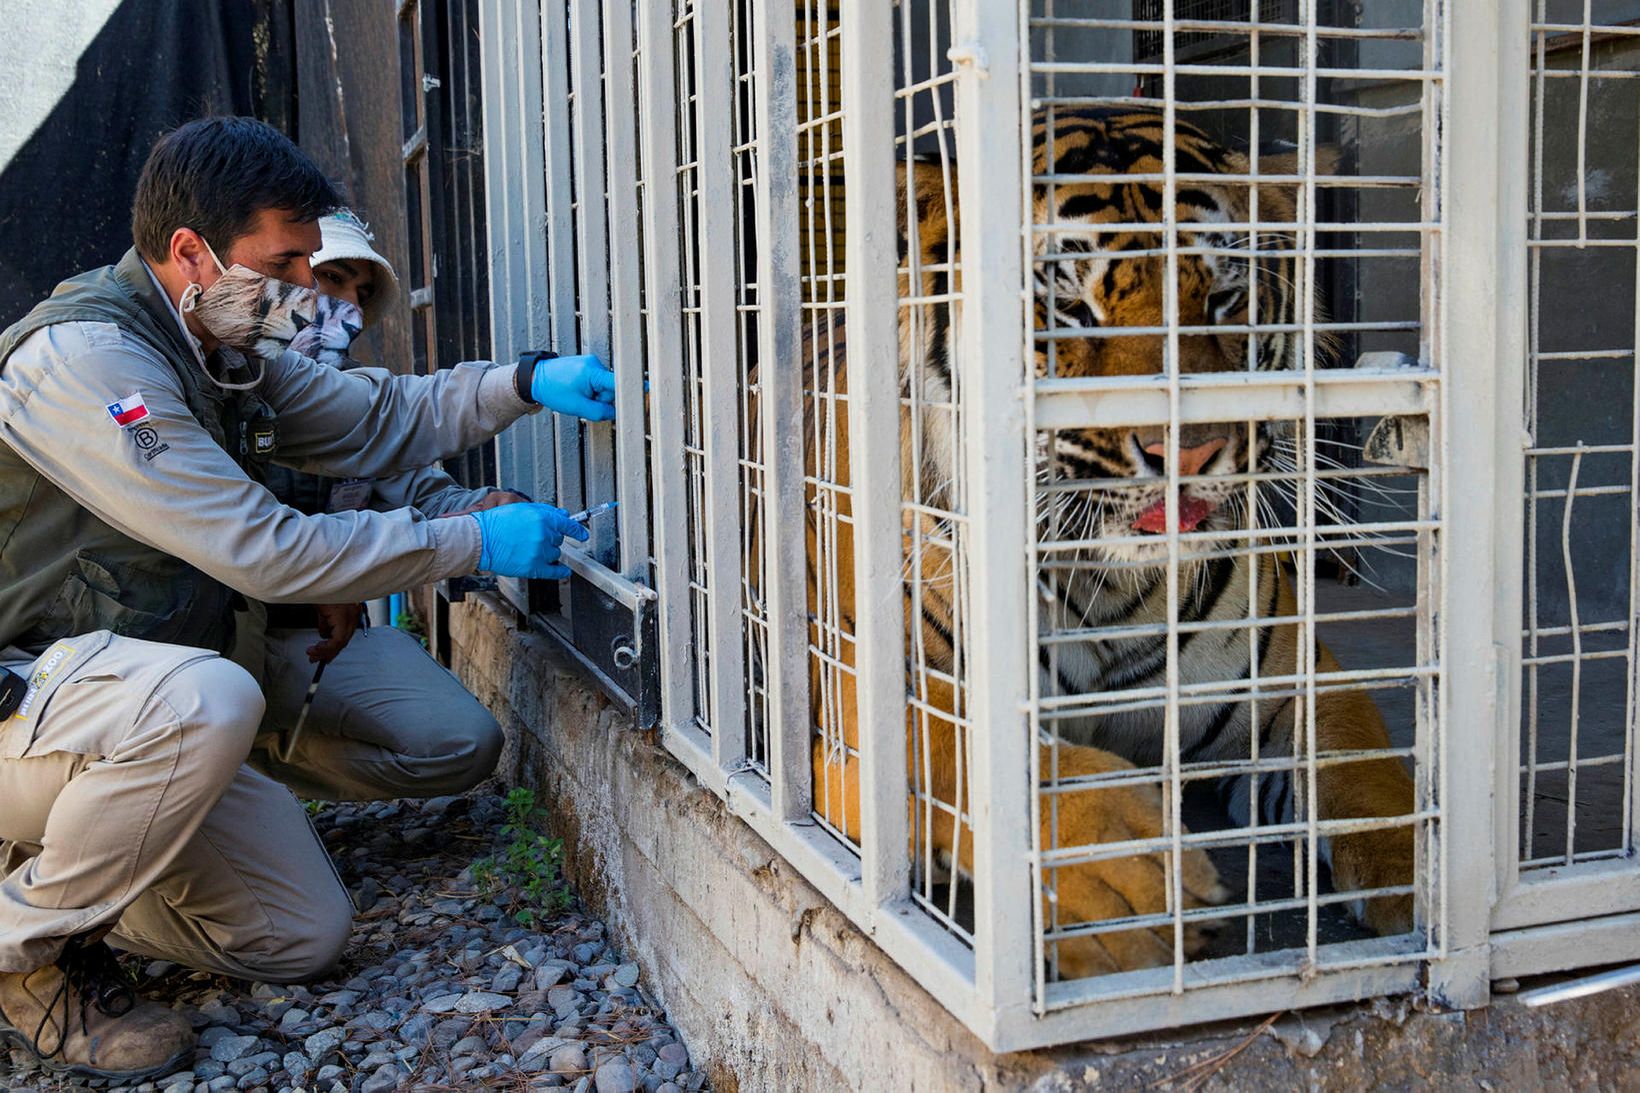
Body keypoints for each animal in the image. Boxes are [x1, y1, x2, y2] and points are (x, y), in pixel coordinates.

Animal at [800, 110, 1416, 971]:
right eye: (1066, 305)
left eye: (1224, 296)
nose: (1187, 449)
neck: (1106, 587)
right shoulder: (863, 707)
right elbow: (965, 752)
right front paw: (1125, 876)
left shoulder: (1296, 681)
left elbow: (1367, 770)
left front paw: (1433, 873)